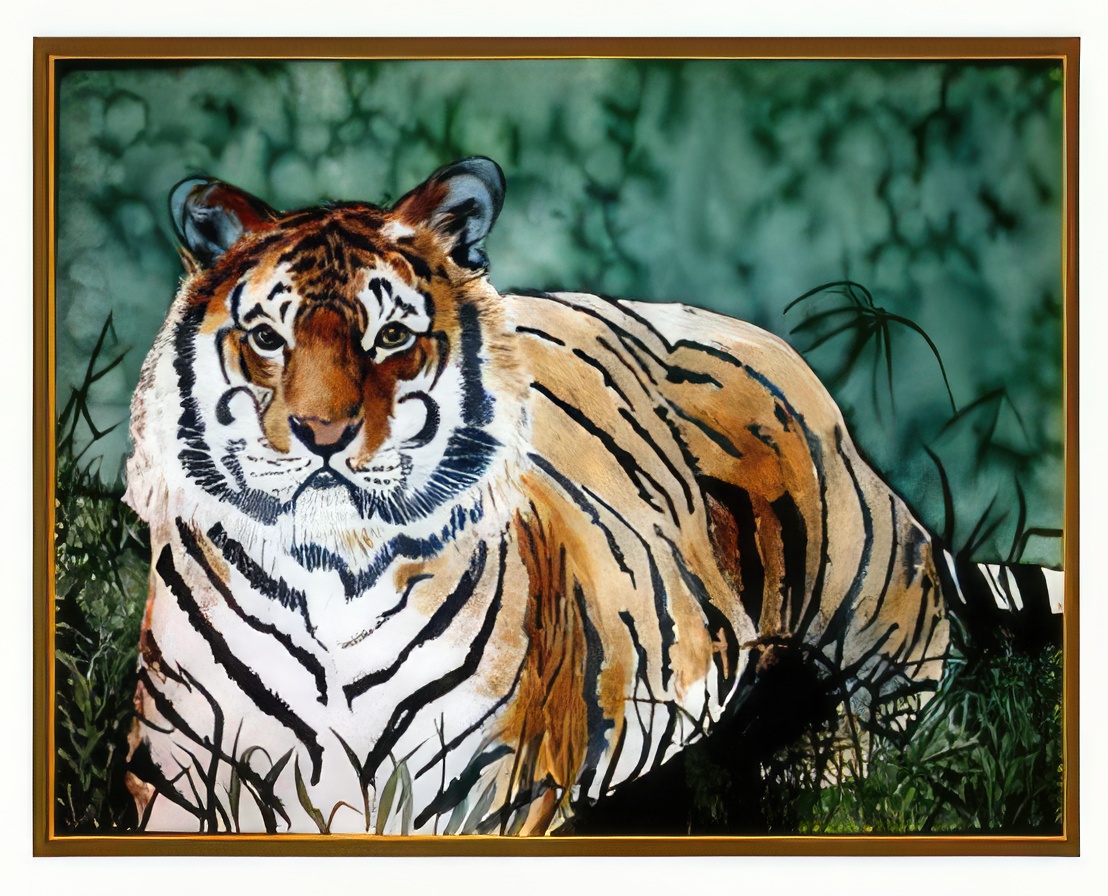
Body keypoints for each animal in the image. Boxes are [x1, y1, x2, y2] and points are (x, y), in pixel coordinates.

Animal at [122, 156, 1062, 835]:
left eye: (390, 336)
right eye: (266, 338)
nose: (322, 434)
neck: (331, 585)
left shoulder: (488, 789)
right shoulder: (175, 777)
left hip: (857, 579)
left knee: (907, 702)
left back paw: (815, 776)